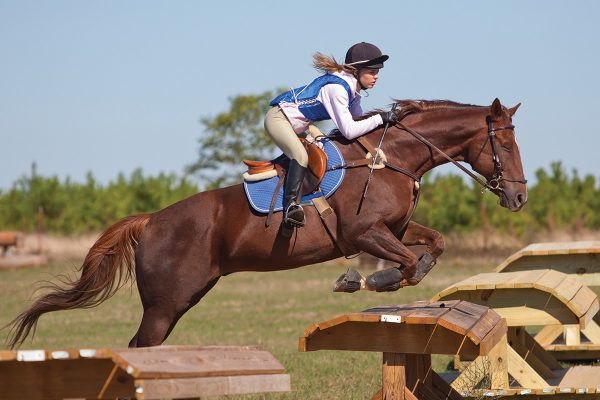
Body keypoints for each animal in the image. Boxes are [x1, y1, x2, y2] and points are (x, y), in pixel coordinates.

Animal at [8, 97, 524, 346]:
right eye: (505, 144)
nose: (518, 196)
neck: (390, 156)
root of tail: (152, 220)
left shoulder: (393, 230)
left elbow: (431, 247)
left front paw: (376, 279)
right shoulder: (364, 233)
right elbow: (409, 265)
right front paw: (363, 281)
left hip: (184, 298)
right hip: (163, 306)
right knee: (139, 348)